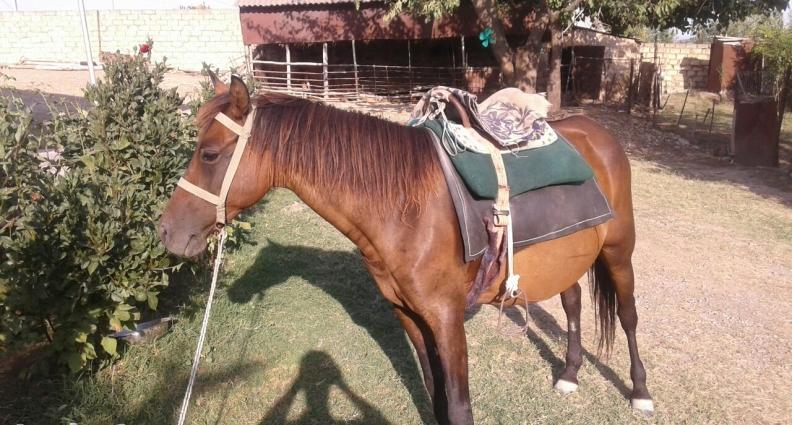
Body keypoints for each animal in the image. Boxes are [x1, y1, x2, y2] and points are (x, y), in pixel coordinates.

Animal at [158, 75, 654, 424]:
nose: (166, 232)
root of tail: (595, 131)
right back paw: (569, 374)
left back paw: (640, 392)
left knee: (628, 316)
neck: (403, 208)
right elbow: (435, 396)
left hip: (619, 251)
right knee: (573, 302)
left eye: (209, 154)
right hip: (570, 255)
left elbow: (459, 406)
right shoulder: (408, 314)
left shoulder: (447, 318)